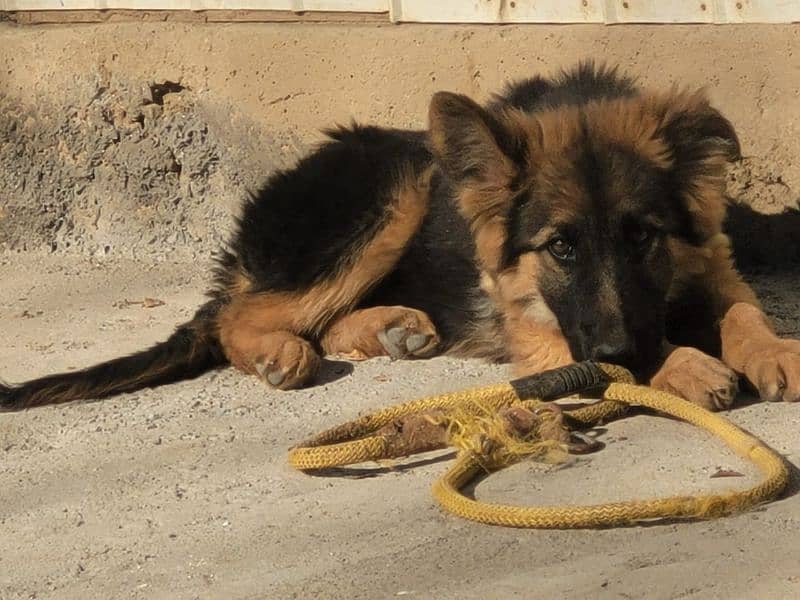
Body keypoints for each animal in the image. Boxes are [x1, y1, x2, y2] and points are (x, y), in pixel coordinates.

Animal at [1, 65, 800, 412]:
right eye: (561, 248)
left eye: (643, 238)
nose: (620, 346)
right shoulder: (542, 330)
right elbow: (609, 353)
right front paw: (681, 365)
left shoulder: (708, 261)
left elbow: (742, 309)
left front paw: (774, 352)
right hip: (396, 187)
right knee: (241, 316)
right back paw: (280, 353)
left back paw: (392, 327)